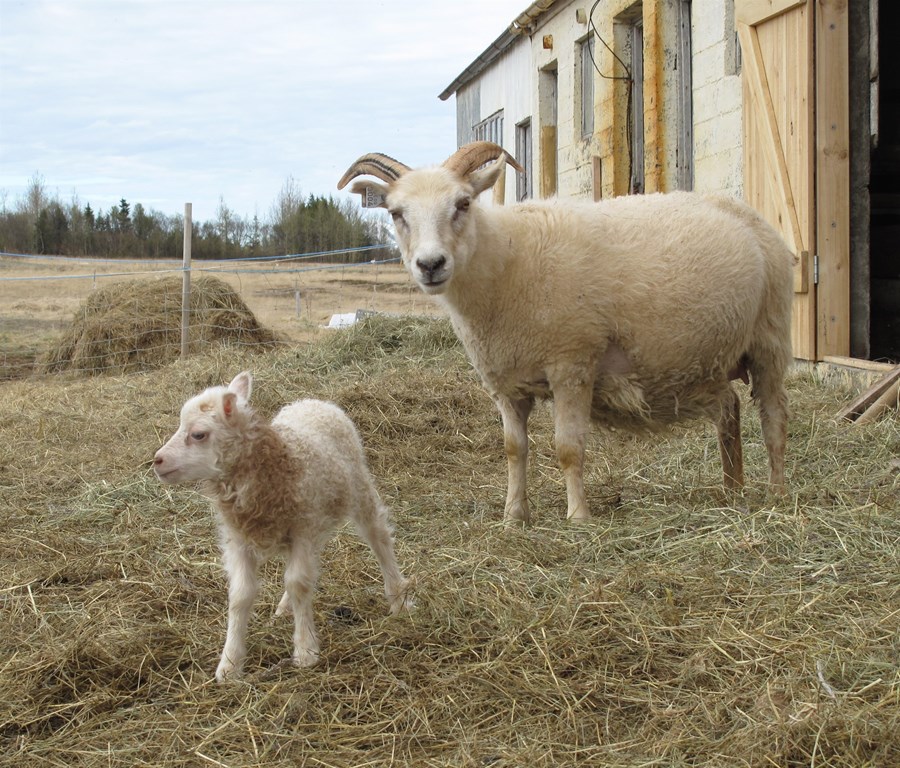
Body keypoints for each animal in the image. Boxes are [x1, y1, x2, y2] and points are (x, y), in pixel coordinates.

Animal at [154, 372, 412, 680]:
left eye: (198, 434)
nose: (157, 461)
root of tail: (313, 401)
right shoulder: (238, 539)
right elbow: (240, 595)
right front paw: (230, 664)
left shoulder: (303, 528)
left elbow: (298, 582)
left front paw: (305, 650)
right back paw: (286, 607)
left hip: (358, 489)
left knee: (379, 537)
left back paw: (398, 598)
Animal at [340, 140, 796, 520]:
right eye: (396, 214)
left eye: (463, 203)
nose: (431, 264)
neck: (506, 263)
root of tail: (745, 212)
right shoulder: (505, 382)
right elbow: (513, 449)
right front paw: (513, 517)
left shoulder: (572, 365)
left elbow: (568, 449)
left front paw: (578, 518)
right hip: (713, 358)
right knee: (729, 409)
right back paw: (732, 490)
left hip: (769, 338)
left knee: (773, 419)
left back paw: (776, 493)